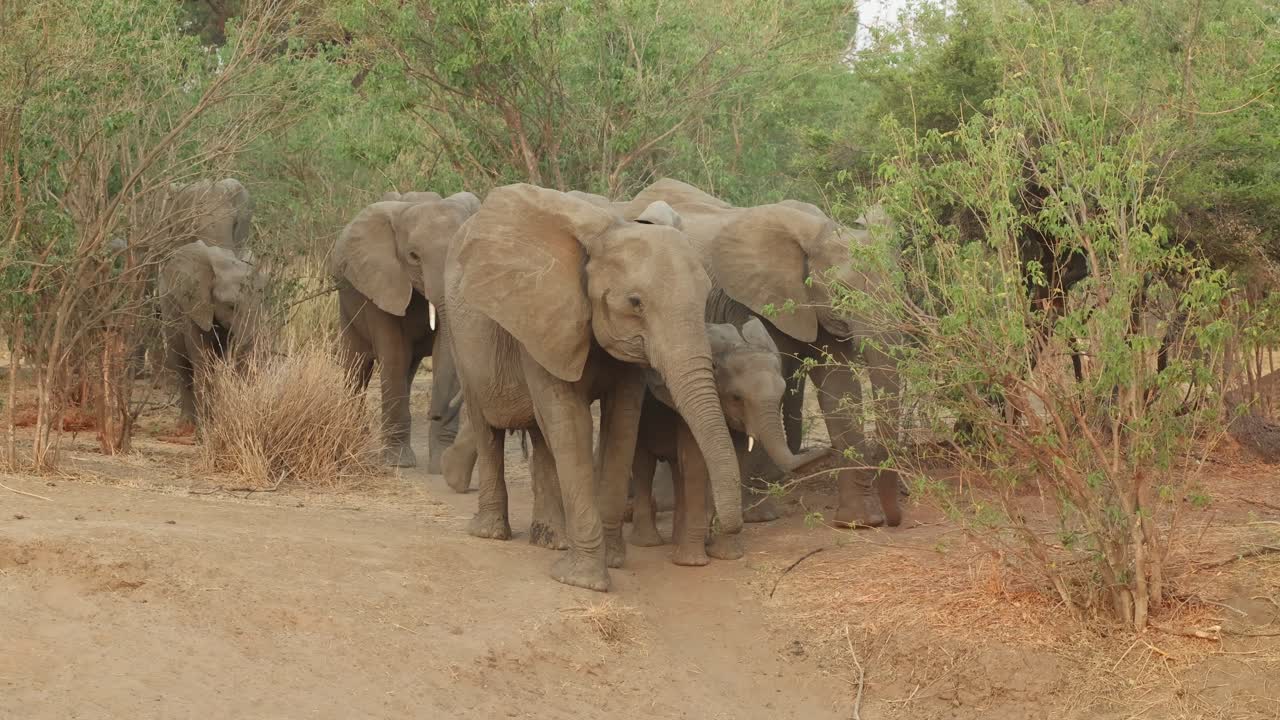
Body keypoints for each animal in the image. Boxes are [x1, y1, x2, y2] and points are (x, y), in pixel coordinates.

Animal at [158, 240, 266, 428]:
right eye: (231, 306)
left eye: (262, 302)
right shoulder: (195, 306)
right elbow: (202, 358)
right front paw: (205, 428)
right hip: (168, 312)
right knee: (182, 366)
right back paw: (186, 425)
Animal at [330, 190, 480, 470]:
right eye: (414, 257)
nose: (434, 414)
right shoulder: (380, 282)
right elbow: (394, 355)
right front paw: (398, 463)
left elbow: (443, 353)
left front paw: (440, 464)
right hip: (346, 305)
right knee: (356, 367)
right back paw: (356, 438)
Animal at [443, 185, 743, 592]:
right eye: (635, 303)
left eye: (704, 298)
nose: (723, 535)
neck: (606, 232)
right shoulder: (543, 317)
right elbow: (570, 422)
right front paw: (584, 581)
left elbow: (622, 424)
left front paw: (612, 560)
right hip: (459, 335)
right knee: (487, 425)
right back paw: (490, 533)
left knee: (541, 435)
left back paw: (551, 540)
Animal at [624, 178, 904, 529]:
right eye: (842, 294)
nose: (895, 520)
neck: (816, 235)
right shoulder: (753, 303)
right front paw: (758, 515)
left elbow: (839, 389)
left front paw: (859, 522)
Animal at [631, 318, 836, 565]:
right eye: (736, 398)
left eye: (781, 394)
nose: (829, 450)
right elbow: (696, 463)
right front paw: (693, 562)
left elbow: (737, 461)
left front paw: (726, 555)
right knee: (644, 465)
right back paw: (649, 542)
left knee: (676, 469)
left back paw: (678, 540)